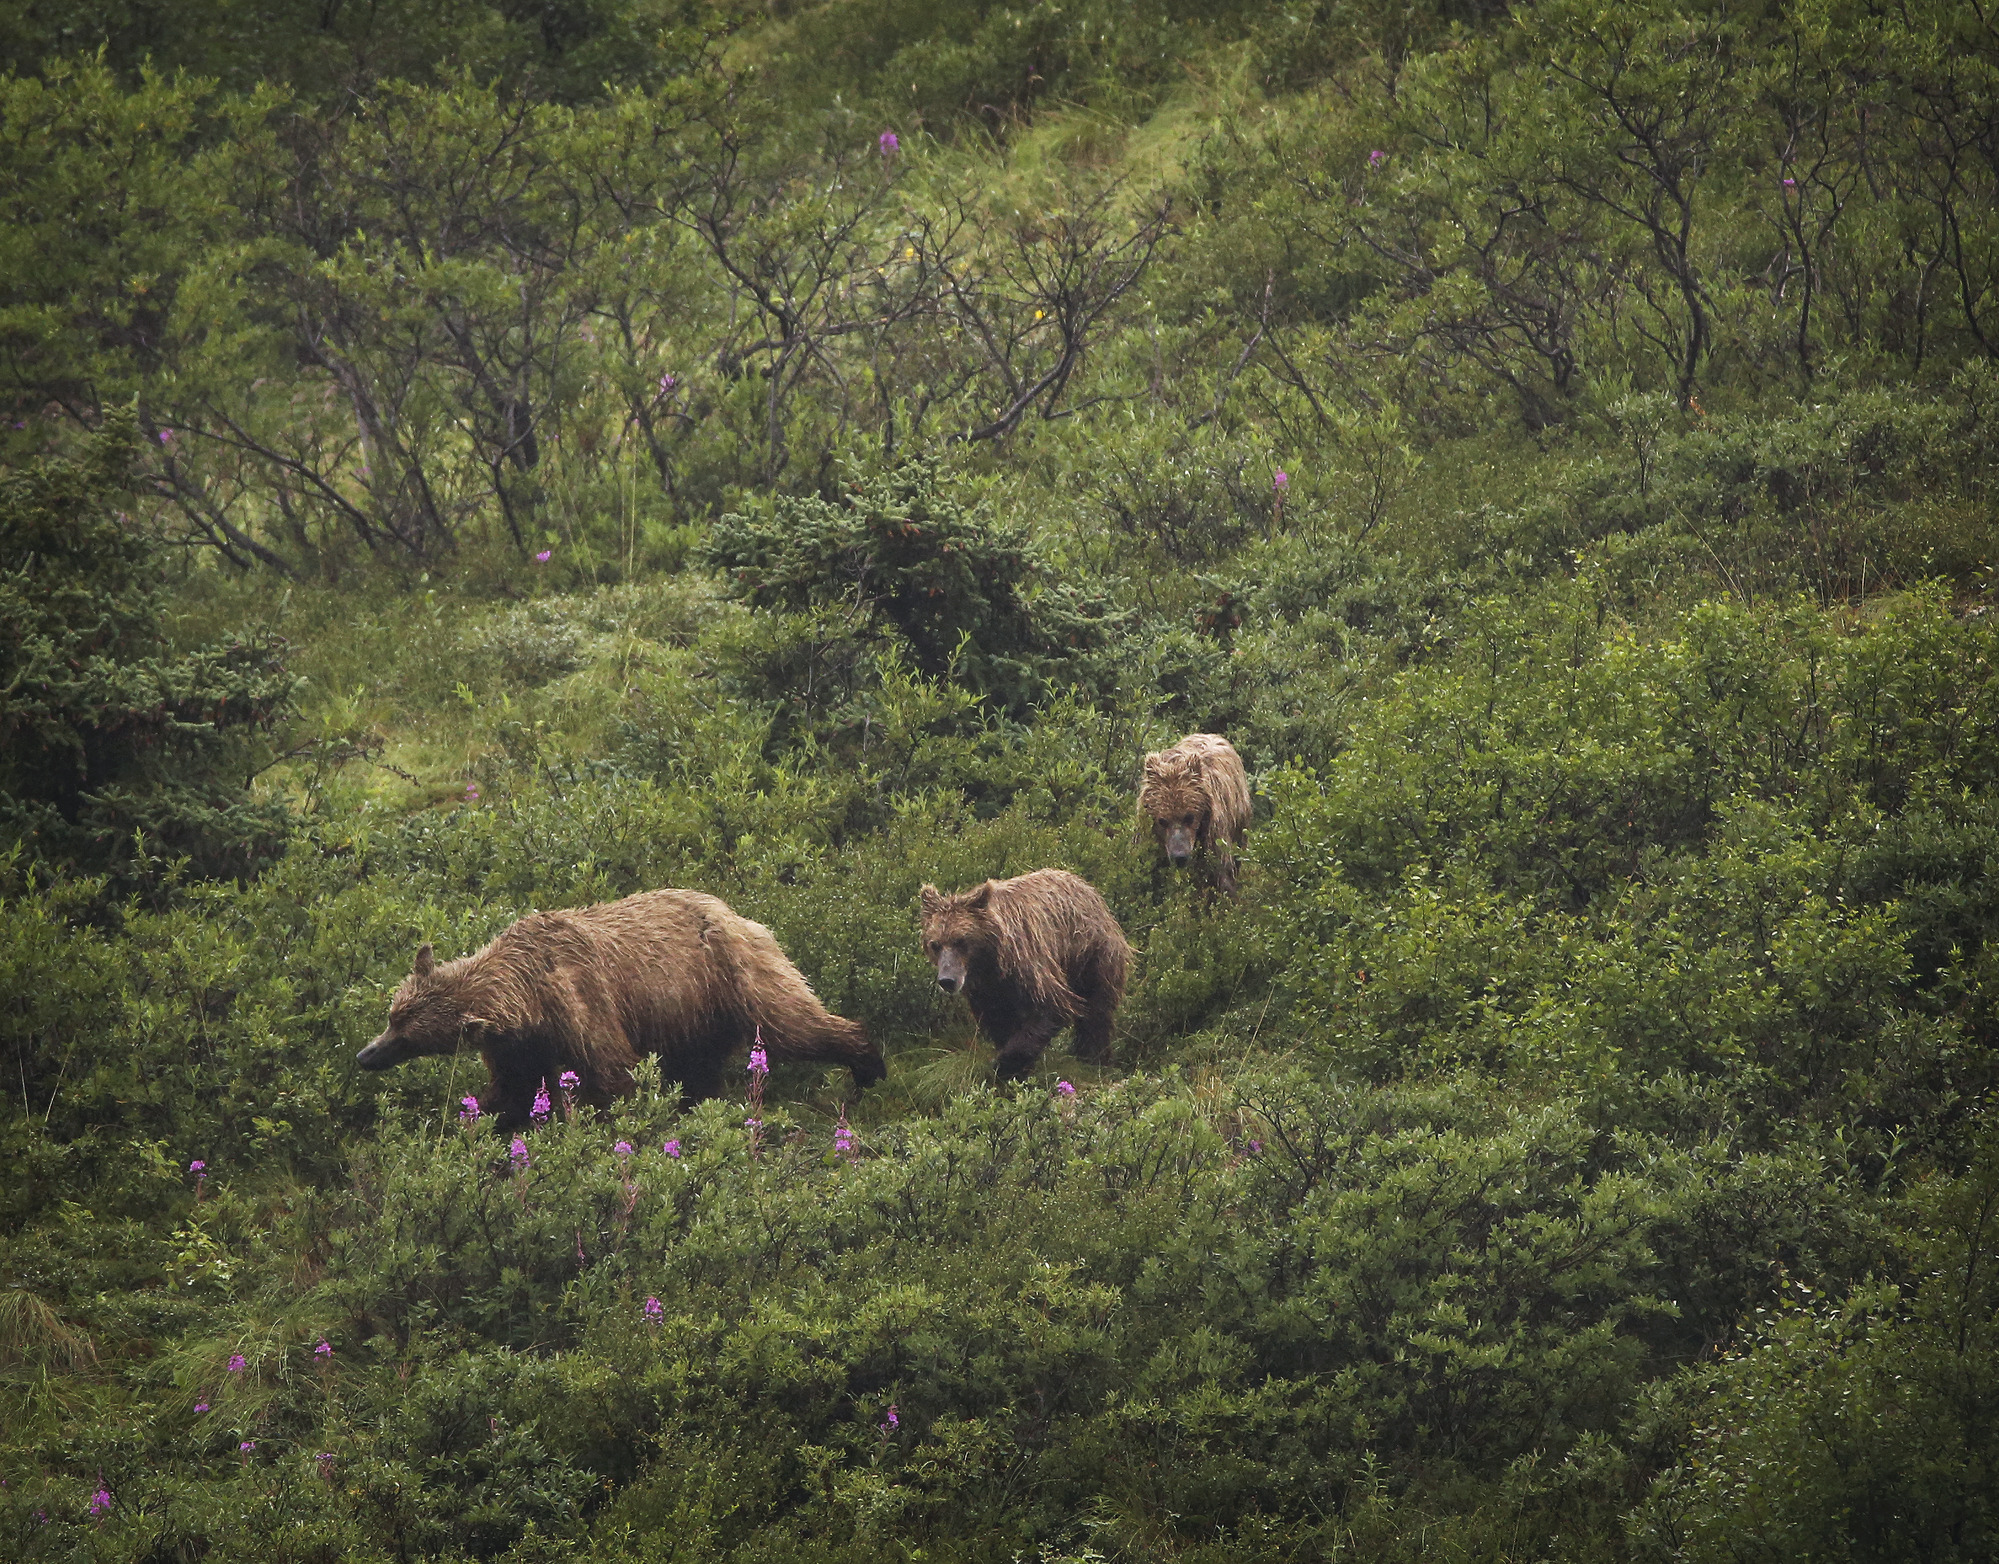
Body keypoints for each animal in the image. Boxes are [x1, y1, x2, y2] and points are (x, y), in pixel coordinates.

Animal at [357, 896, 883, 1128]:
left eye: (407, 1034)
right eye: (393, 1015)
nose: (366, 1055)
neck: (526, 995)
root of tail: (739, 914)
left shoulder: (578, 999)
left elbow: (612, 1072)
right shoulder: (519, 1041)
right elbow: (514, 1088)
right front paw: (473, 1116)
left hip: (731, 975)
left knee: (791, 1022)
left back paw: (866, 1064)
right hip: (691, 1015)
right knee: (699, 1068)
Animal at [915, 876, 1135, 1088]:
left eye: (960, 941)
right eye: (935, 944)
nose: (947, 980)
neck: (992, 963)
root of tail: (1091, 891)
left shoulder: (1029, 963)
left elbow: (1050, 1008)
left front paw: (1003, 1066)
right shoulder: (988, 991)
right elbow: (999, 1023)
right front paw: (1014, 1069)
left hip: (1091, 954)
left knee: (1096, 1013)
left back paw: (1094, 1059)